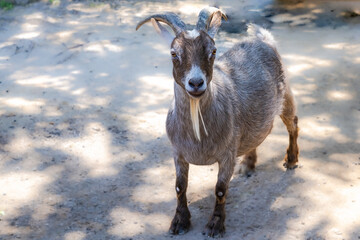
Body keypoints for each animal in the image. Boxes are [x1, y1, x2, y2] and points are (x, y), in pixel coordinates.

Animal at [136, 6, 300, 237]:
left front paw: (215, 225)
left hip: (285, 96)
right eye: (173, 53)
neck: (197, 135)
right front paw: (179, 222)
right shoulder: (178, 153)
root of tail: (263, 39)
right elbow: (179, 186)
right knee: (258, 134)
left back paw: (291, 160)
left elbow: (221, 190)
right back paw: (248, 165)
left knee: (293, 124)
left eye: (213, 51)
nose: (196, 83)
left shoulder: (227, 154)